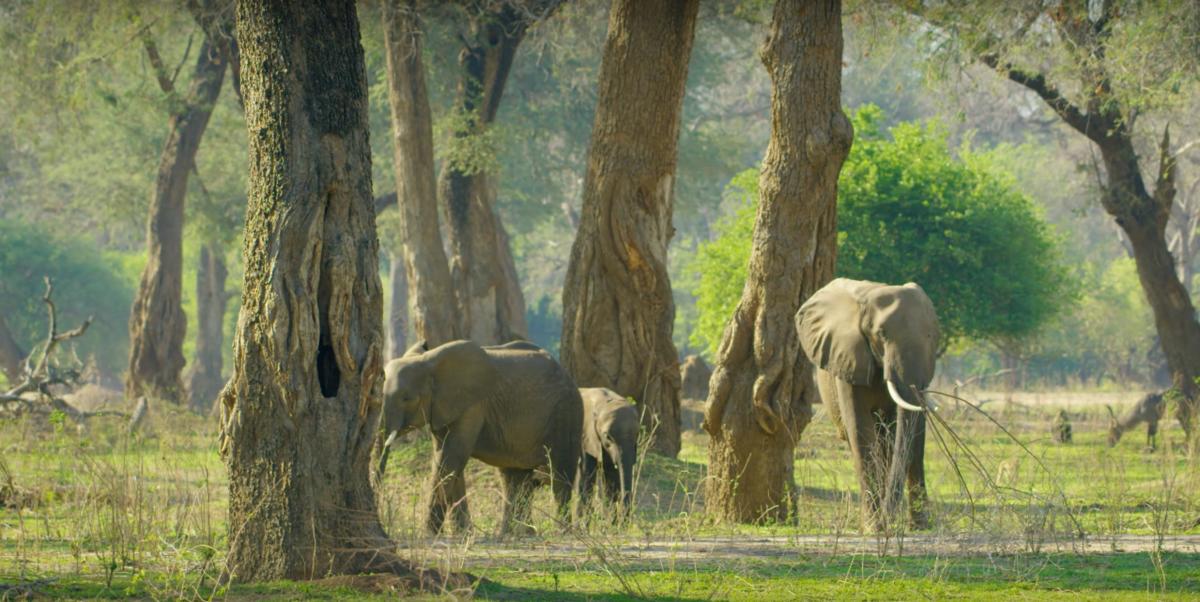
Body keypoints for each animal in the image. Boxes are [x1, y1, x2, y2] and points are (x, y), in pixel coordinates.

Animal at [376, 340, 578, 534]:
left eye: (407, 399)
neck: (428, 363)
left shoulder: (471, 406)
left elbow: (452, 458)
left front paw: (430, 535)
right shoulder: (442, 409)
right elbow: (445, 460)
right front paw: (463, 534)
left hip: (565, 414)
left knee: (560, 476)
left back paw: (562, 532)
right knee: (513, 479)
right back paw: (514, 534)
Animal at [801, 277, 940, 532]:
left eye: (933, 337)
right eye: (881, 334)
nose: (888, 521)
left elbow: (896, 434)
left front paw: (883, 523)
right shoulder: (847, 357)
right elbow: (860, 429)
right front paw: (873, 527)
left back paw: (920, 526)